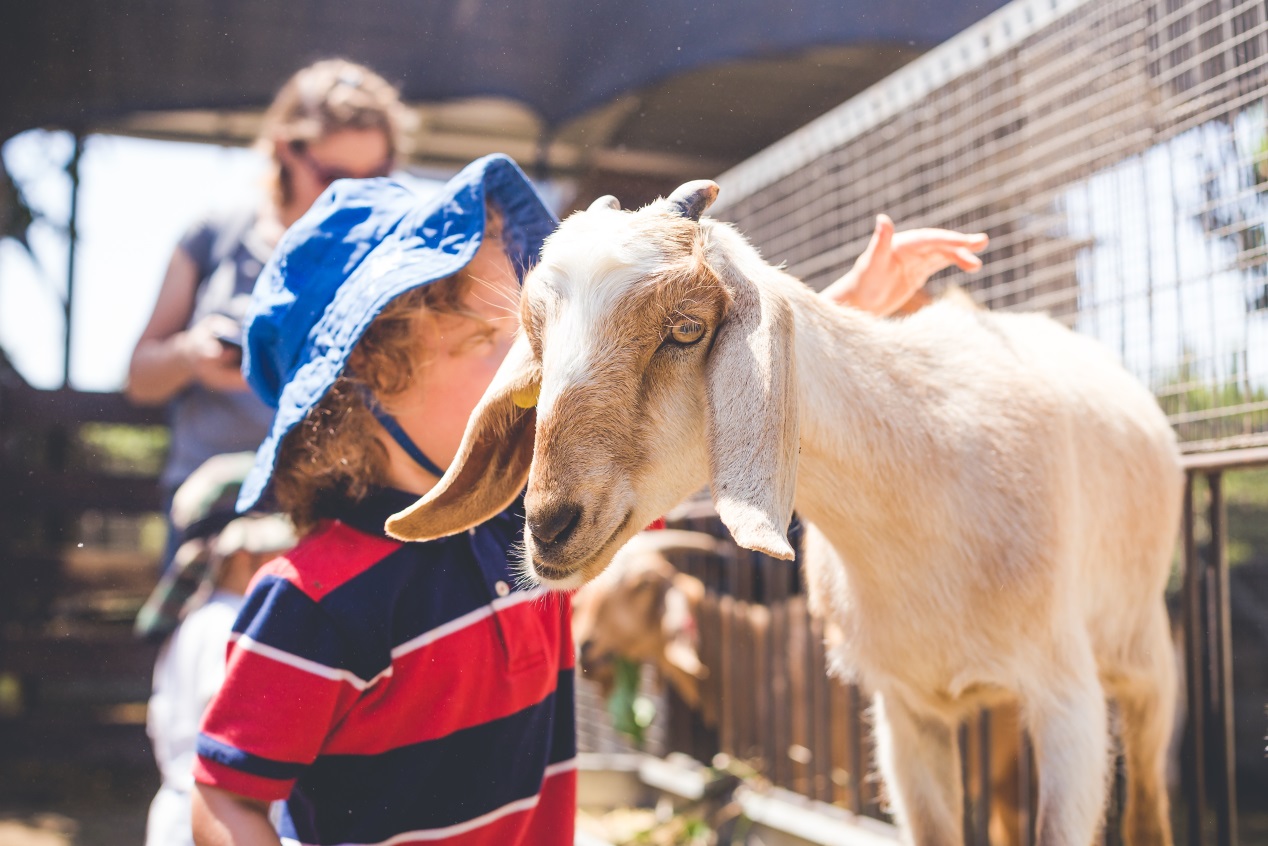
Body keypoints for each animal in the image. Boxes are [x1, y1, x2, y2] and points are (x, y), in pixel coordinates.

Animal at [388, 182, 1186, 842]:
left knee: (1148, 805)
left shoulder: (1066, 699)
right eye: (537, 341)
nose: (551, 525)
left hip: (1142, 657)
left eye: (687, 329)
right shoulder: (906, 709)